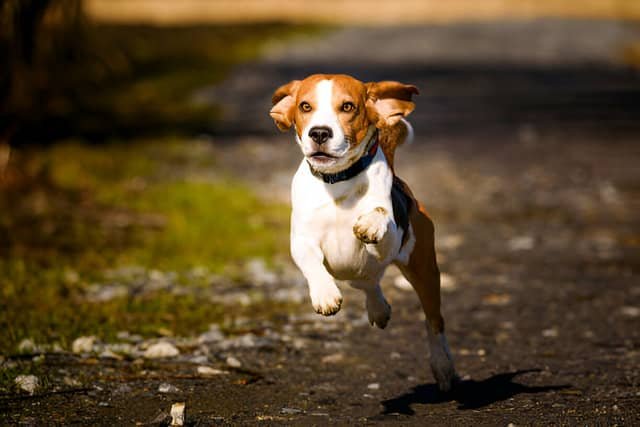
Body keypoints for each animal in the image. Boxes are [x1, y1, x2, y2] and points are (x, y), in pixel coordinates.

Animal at [268, 72, 458, 392]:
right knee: (368, 283)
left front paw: (369, 222)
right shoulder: (302, 240)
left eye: (347, 107)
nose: (319, 133)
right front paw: (325, 295)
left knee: (434, 323)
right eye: (305, 106)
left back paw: (444, 367)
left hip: (425, 271)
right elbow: (312, 264)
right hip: (356, 273)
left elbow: (379, 216)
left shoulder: (389, 242)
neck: (337, 182)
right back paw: (379, 308)